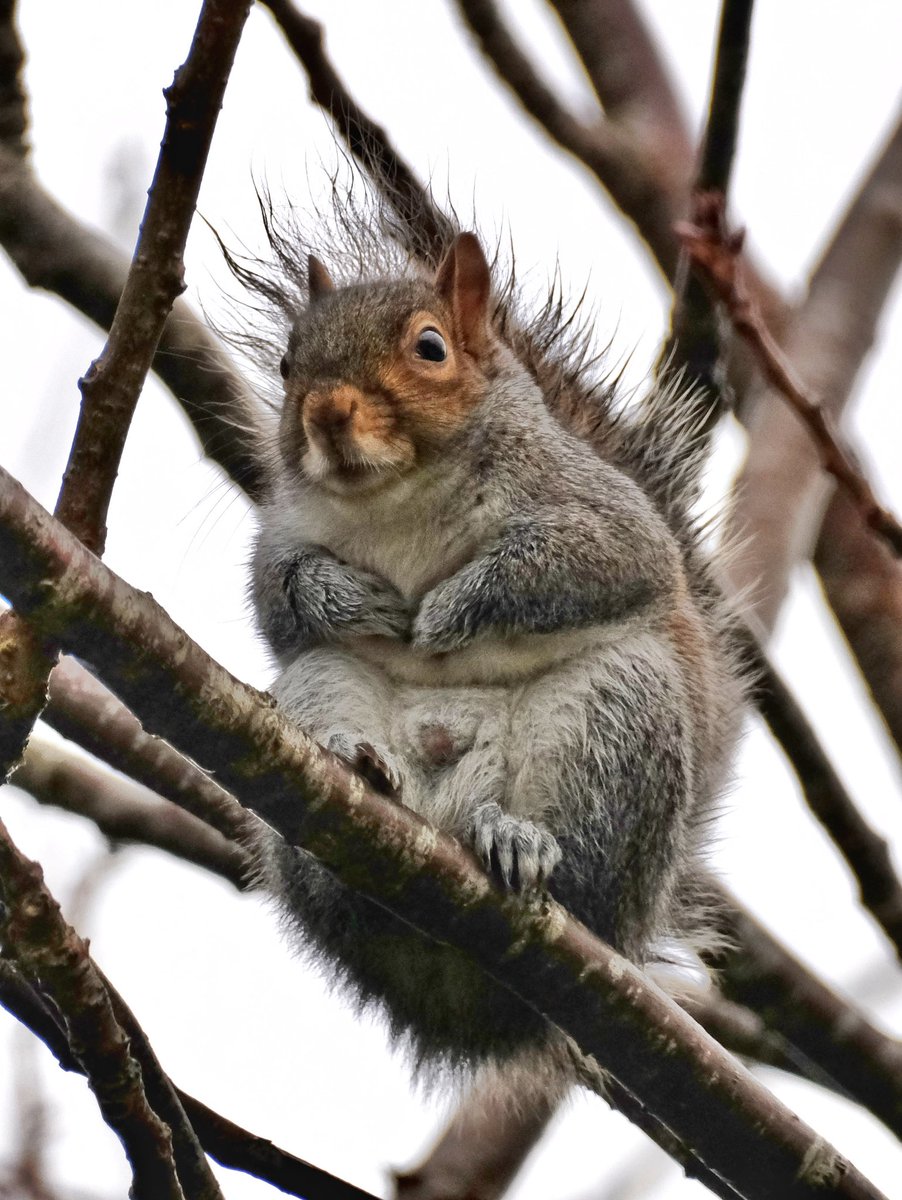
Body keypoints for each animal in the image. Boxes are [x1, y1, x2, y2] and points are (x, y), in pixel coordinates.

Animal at [250, 225, 743, 1080]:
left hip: (618, 713)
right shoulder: (281, 534)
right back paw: (357, 780)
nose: (328, 413)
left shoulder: (597, 516)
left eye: (430, 347)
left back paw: (519, 841)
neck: (400, 496)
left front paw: (450, 608)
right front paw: (351, 599)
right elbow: (278, 595)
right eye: (287, 364)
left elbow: (579, 563)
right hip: (321, 683)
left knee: (577, 865)